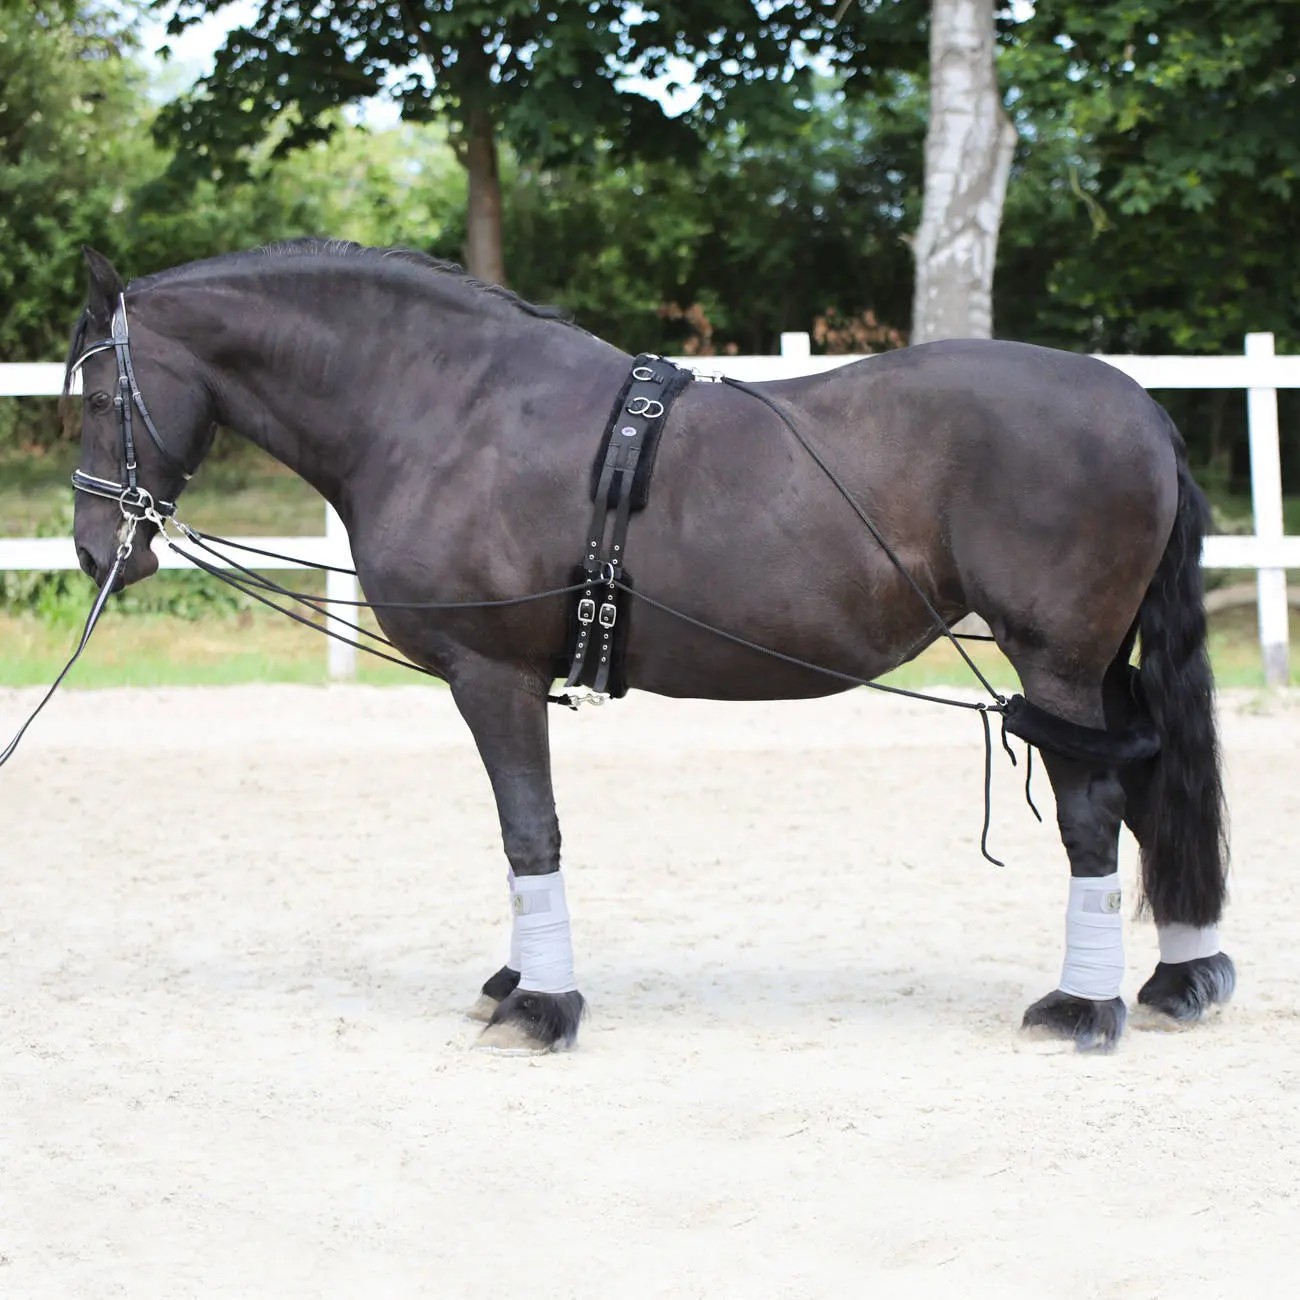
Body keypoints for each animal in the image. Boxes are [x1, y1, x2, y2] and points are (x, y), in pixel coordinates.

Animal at [65, 240, 1234, 1054]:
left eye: (97, 393)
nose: (93, 547)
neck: (449, 411)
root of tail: (1139, 407)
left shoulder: (493, 678)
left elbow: (528, 830)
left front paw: (542, 1003)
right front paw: (520, 979)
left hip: (1058, 662)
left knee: (1092, 812)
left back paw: (1081, 1007)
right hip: (1099, 670)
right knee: (1148, 792)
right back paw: (1180, 978)